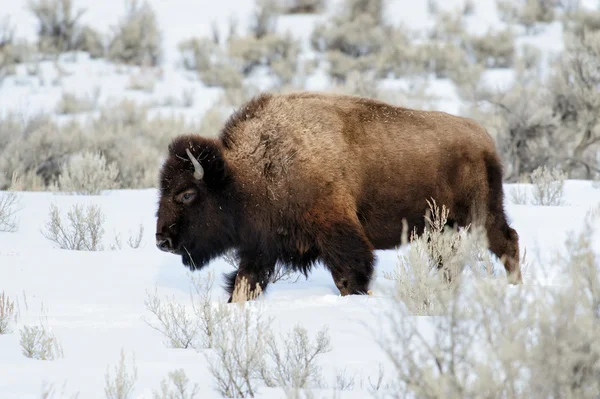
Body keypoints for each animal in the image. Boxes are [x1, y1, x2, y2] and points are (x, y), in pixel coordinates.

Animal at [155, 91, 520, 304]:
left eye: (186, 194)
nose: (162, 240)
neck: (249, 170)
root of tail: (484, 140)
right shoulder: (261, 247)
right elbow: (245, 283)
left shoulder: (337, 232)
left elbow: (351, 275)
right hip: (442, 230)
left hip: (480, 217)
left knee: (507, 242)